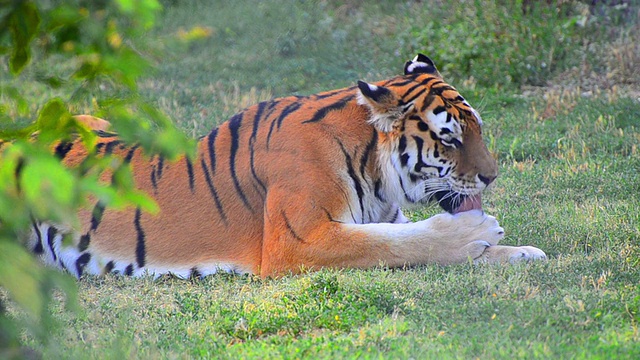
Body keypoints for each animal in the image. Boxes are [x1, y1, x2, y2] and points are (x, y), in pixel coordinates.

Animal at [25, 54, 544, 278]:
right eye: (449, 137)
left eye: (477, 129)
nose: (492, 176)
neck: (377, 173)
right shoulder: (297, 240)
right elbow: (393, 243)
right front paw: (479, 231)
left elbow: (402, 236)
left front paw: (520, 251)